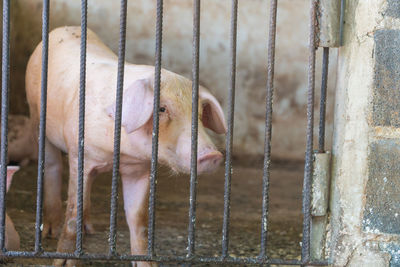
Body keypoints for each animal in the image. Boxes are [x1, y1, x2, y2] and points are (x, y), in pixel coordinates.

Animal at [25, 25, 228, 267]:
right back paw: (52, 231)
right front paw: (64, 262)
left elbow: (138, 218)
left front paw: (147, 263)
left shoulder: (138, 170)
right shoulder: (79, 154)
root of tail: (63, 29)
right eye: (162, 109)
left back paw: (89, 229)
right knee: (52, 167)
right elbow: (74, 210)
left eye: (198, 114)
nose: (213, 155)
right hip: (37, 118)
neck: (119, 154)